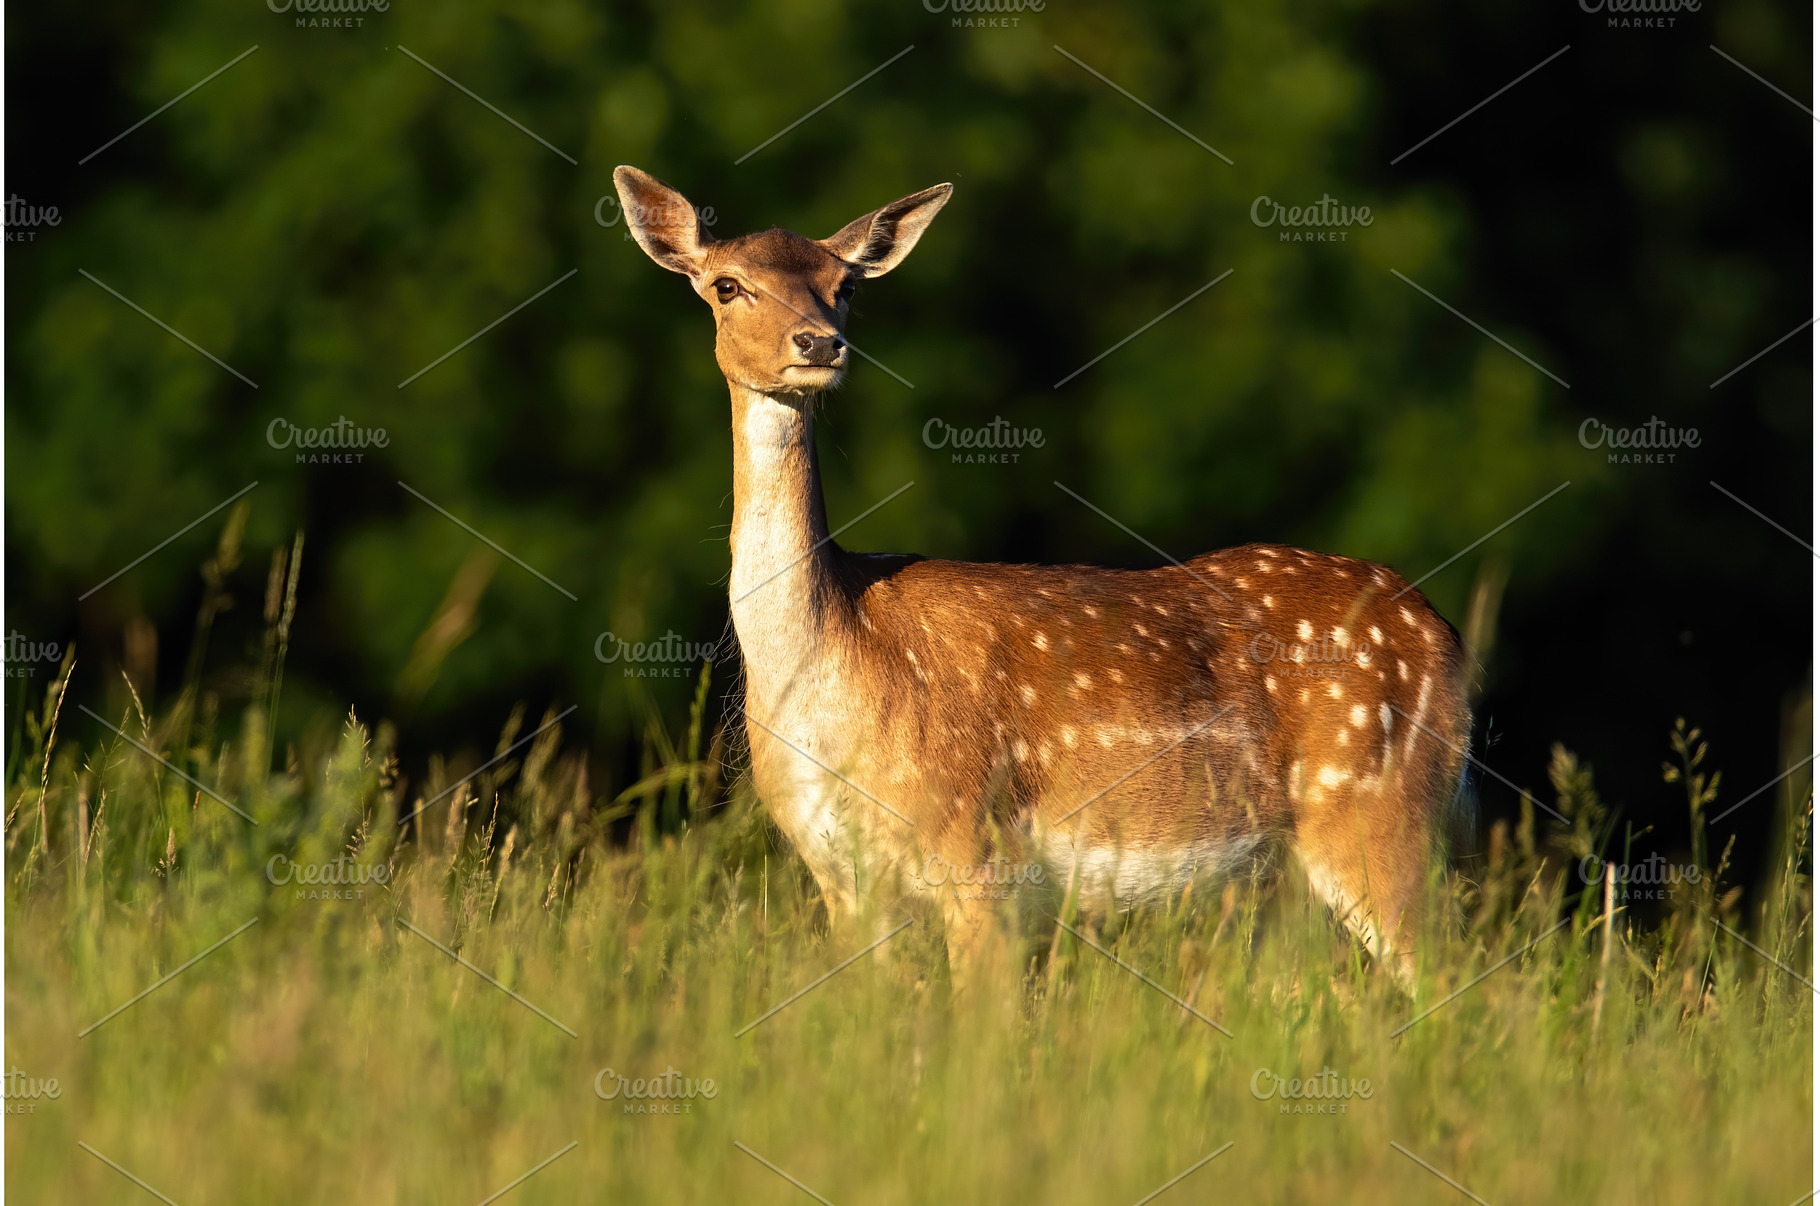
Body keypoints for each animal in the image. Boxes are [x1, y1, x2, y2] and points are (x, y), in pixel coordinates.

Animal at [612, 165, 1472, 988]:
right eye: (728, 284)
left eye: (845, 284)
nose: (819, 343)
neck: (832, 669)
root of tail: (1447, 636)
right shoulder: (839, 875)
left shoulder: (973, 842)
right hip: (1284, 879)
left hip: (1378, 813)